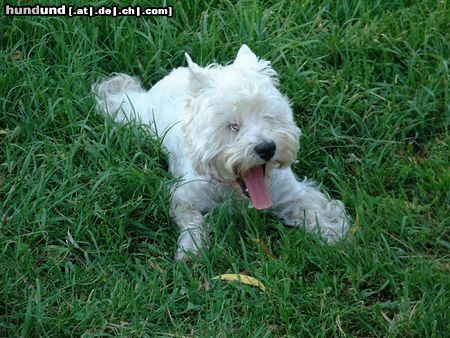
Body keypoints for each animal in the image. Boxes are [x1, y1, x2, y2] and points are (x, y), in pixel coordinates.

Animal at [93, 44, 350, 262]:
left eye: (268, 116)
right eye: (233, 126)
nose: (267, 148)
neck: (233, 192)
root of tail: (173, 75)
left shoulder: (291, 193)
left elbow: (316, 209)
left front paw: (336, 234)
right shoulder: (183, 197)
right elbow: (192, 220)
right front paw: (192, 250)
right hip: (144, 119)